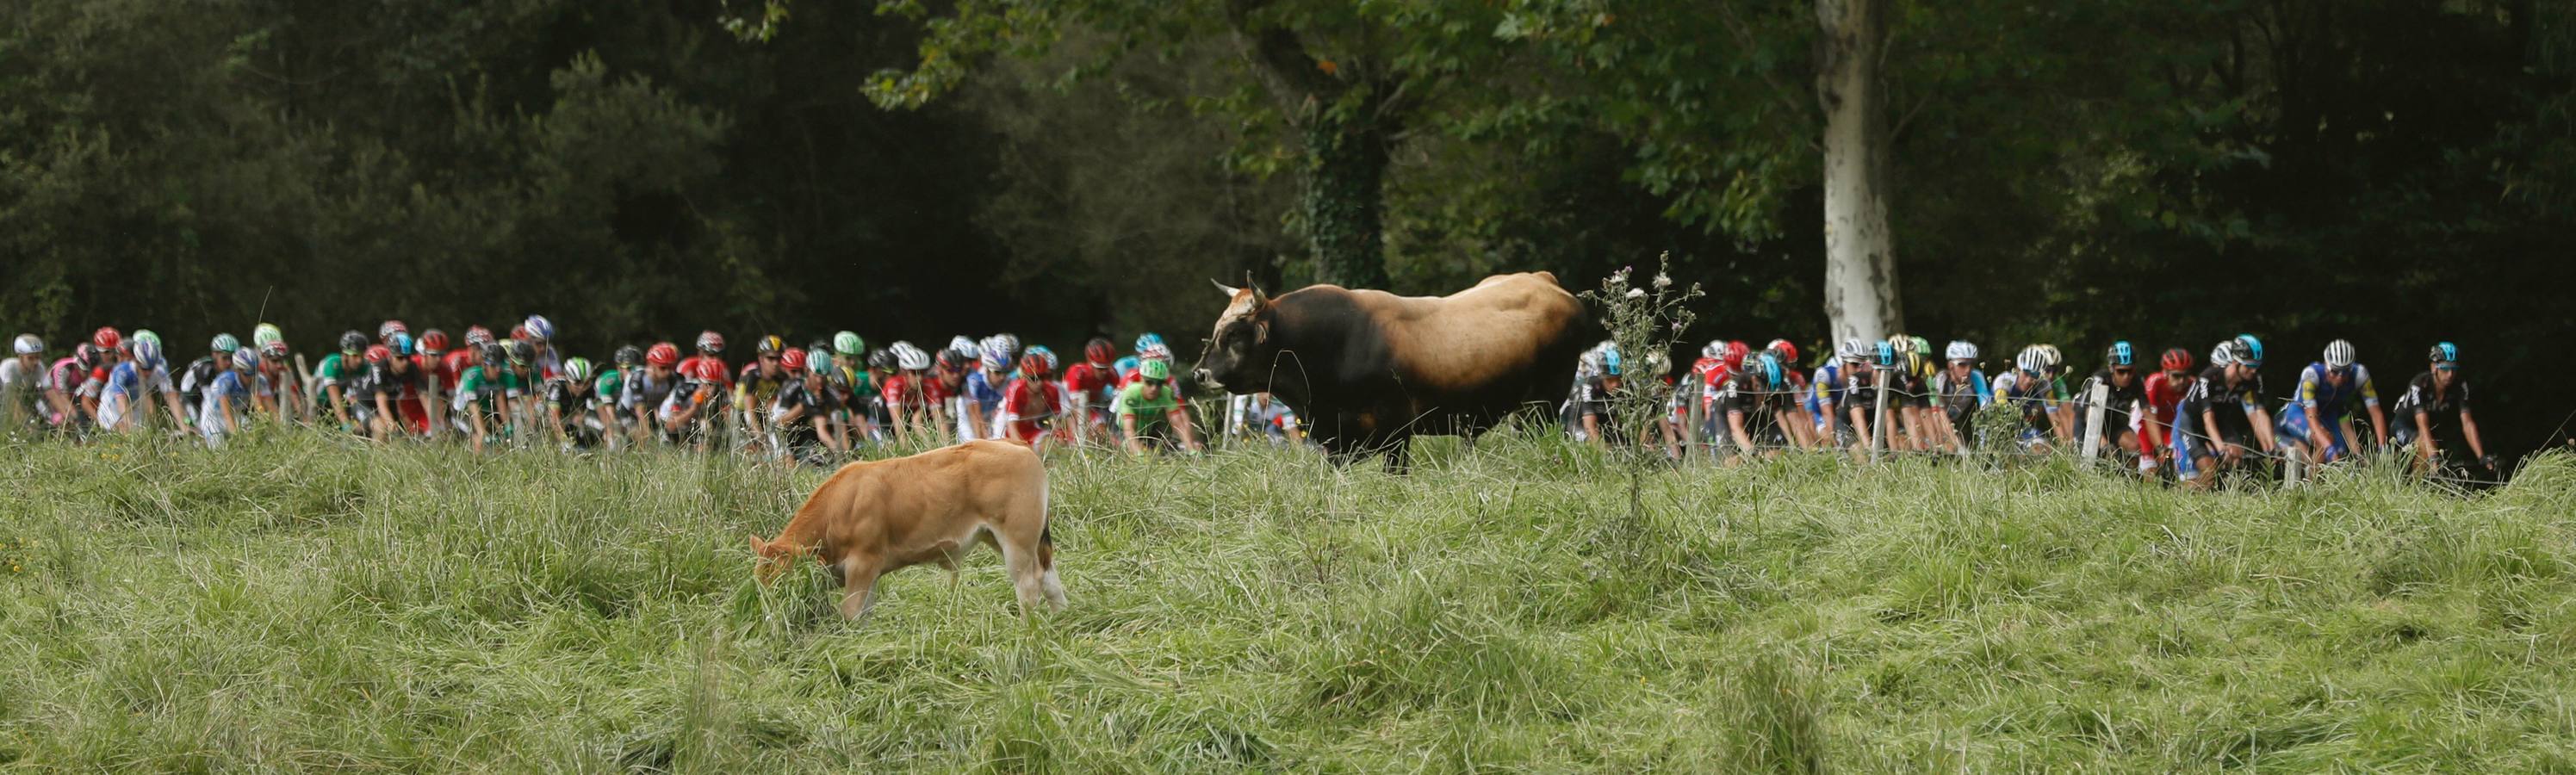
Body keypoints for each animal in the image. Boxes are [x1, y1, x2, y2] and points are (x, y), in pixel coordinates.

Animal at [747, 437, 1066, 617]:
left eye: (781, 578)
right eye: (760, 580)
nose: (769, 612)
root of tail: (1013, 444)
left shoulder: (862, 563)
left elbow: (850, 612)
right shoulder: (869, 572)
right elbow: (864, 613)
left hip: (1017, 538)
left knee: (1029, 584)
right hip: (1011, 539)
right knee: (1050, 579)